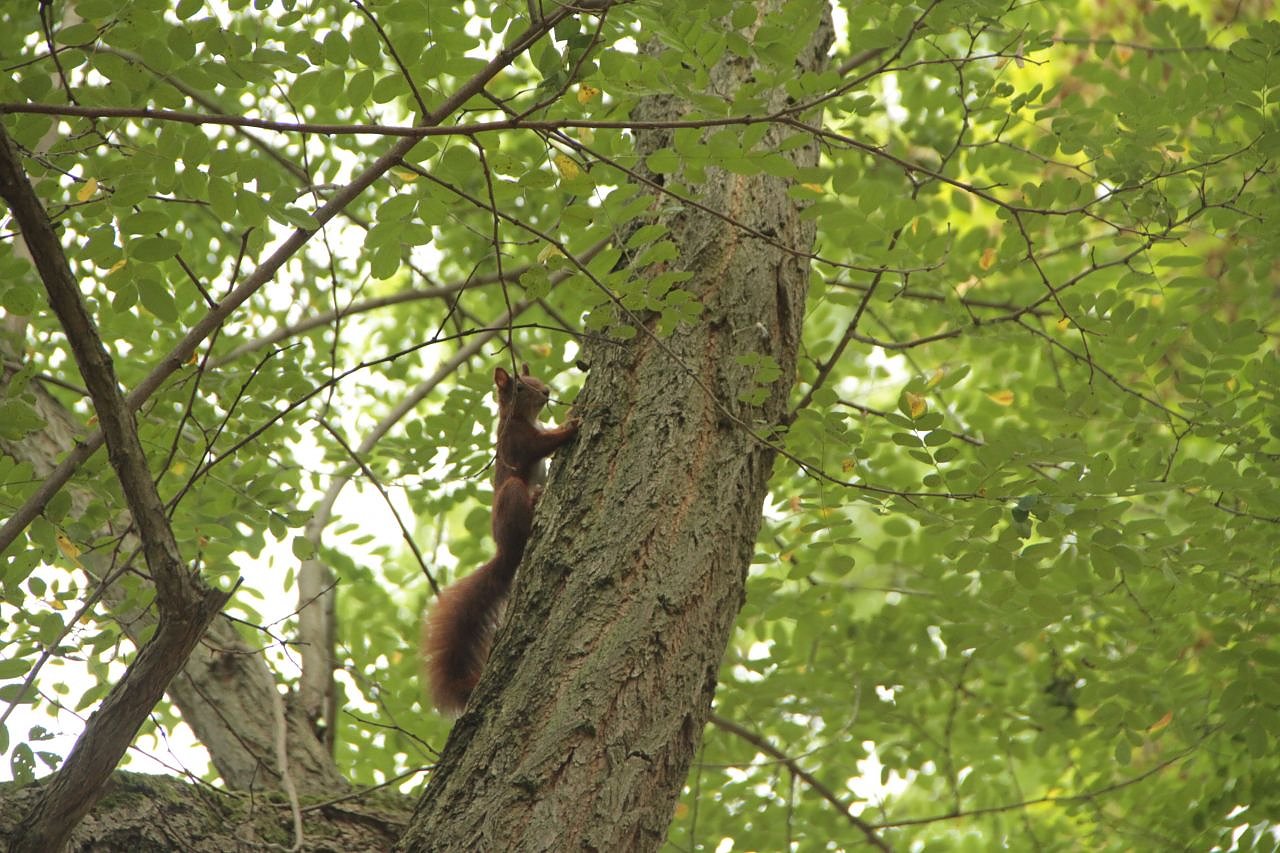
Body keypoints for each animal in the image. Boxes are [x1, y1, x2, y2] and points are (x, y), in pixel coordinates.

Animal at [423, 364, 579, 716]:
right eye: (520, 387)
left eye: (535, 379)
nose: (547, 391)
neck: (520, 419)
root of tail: (505, 553)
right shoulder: (518, 442)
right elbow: (541, 445)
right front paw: (570, 425)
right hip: (512, 494)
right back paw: (535, 500)